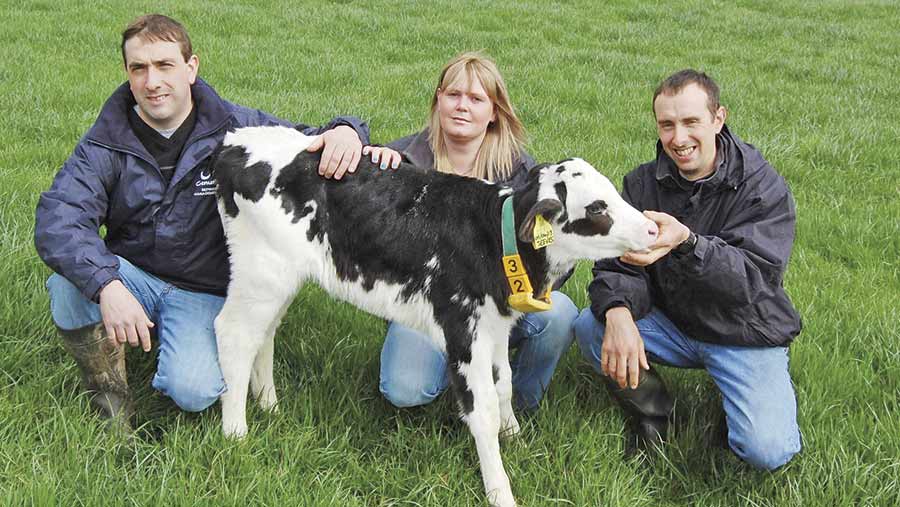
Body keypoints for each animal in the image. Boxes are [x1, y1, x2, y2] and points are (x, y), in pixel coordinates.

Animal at [214, 126, 656, 507]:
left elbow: (505, 385)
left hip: (281, 278)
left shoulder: (495, 326)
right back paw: (236, 434)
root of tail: (237, 139)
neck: (493, 235)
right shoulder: (462, 328)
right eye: (597, 207)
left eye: (611, 191)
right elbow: (483, 410)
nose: (653, 229)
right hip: (261, 271)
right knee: (233, 334)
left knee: (265, 333)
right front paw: (500, 490)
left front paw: (515, 439)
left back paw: (270, 406)